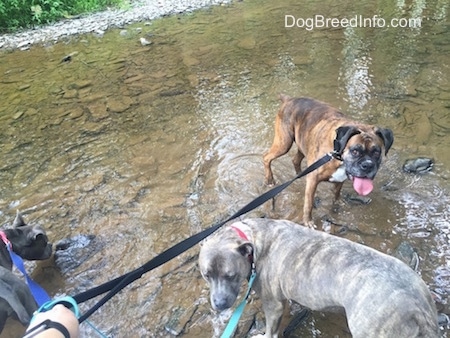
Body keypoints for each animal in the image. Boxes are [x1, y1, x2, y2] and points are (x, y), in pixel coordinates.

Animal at [199, 218, 438, 336]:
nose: (219, 304)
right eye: (206, 275)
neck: (251, 238)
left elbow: (271, 332)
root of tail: (416, 305)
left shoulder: (273, 305)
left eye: (231, 275)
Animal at [264, 94, 394, 227]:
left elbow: (336, 194)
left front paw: (337, 203)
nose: (367, 165)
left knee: (295, 160)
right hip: (284, 143)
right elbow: (309, 204)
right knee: (266, 157)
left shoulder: (340, 179)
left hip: (302, 143)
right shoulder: (313, 180)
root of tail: (290, 99)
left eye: (377, 153)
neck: (337, 152)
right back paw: (270, 180)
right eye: (355, 151)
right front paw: (308, 221)